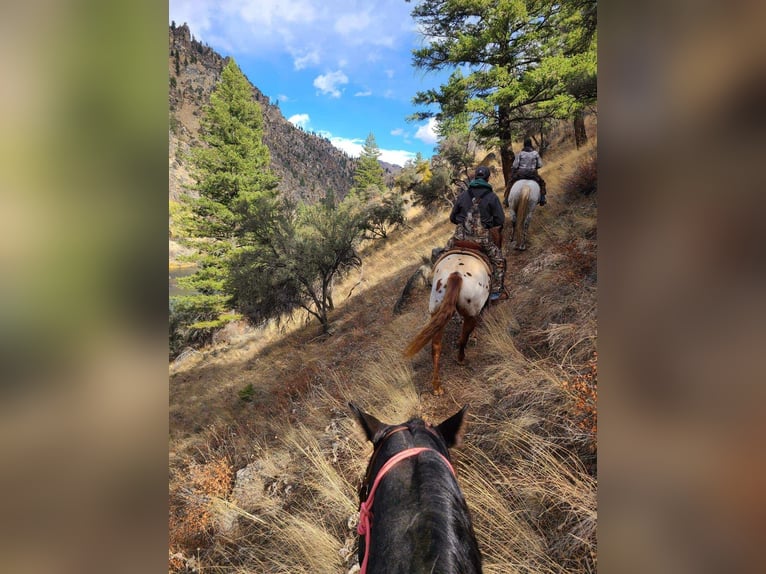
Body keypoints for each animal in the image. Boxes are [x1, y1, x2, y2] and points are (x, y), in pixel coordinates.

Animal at [404, 245, 496, 398]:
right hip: (470, 314)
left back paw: (437, 387)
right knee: (463, 338)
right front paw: (475, 336)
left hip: (436, 313)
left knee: (436, 348)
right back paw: (461, 359)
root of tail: (455, 275)